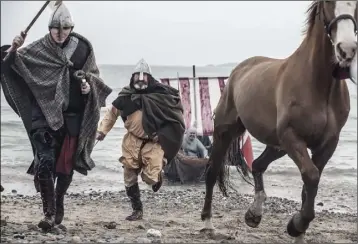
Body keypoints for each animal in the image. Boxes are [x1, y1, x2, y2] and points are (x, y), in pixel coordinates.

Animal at [201, 0, 356, 243]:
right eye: (328, 3)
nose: (346, 48)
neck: (318, 84)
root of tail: (239, 70)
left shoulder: (327, 144)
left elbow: (309, 184)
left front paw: (299, 231)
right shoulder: (292, 137)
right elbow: (311, 176)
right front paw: (296, 226)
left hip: (277, 146)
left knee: (257, 165)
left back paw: (254, 214)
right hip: (225, 132)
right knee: (212, 171)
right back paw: (208, 223)